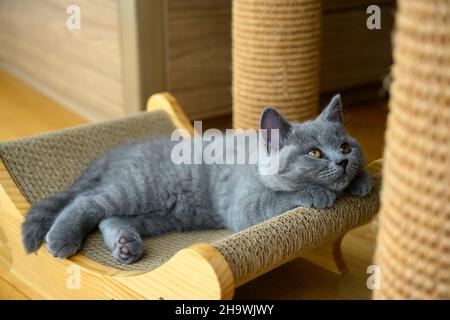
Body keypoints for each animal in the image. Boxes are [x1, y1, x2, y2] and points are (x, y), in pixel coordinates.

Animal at [22, 94, 372, 262]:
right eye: (315, 153)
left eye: (345, 146)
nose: (342, 161)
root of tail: (119, 150)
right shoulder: (244, 207)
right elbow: (280, 198)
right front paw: (317, 193)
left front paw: (361, 179)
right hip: (139, 189)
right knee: (87, 202)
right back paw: (62, 238)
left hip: (163, 215)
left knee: (108, 217)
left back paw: (125, 246)